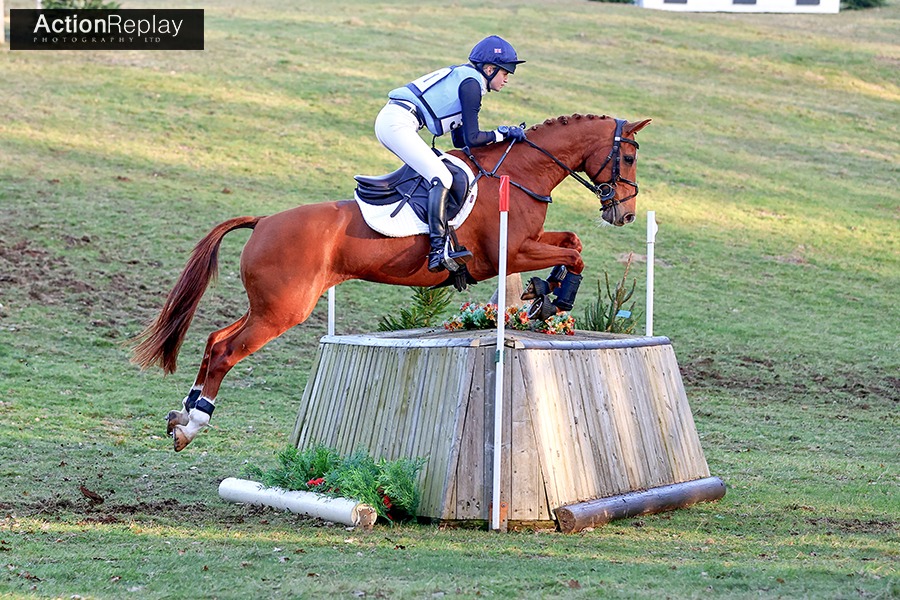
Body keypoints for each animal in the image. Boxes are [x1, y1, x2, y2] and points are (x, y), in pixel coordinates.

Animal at [132, 113, 651, 451]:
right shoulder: (510, 252)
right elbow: (575, 253)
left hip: (268, 306)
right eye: (627, 157)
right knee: (225, 350)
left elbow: (572, 243)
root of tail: (263, 221)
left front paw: (543, 295)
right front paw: (552, 298)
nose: (624, 213)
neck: (519, 172)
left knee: (215, 339)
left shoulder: (527, 243)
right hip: (284, 310)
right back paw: (192, 425)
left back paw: (183, 414)